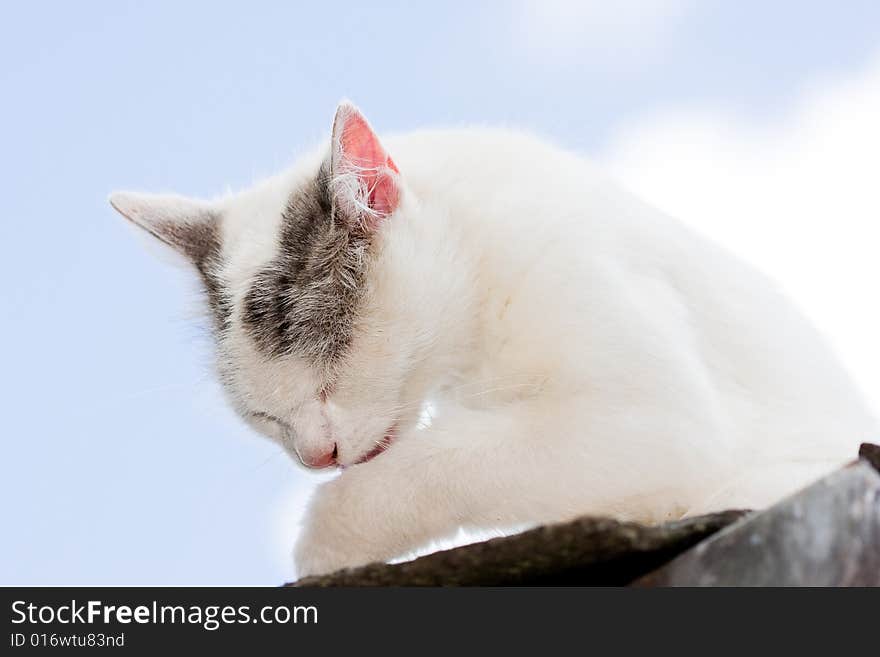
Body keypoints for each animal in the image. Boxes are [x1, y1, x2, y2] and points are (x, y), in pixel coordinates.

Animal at [111, 100, 880, 576]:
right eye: (265, 416)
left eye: (329, 378)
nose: (315, 455)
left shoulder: (656, 421)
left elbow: (433, 463)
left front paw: (326, 540)